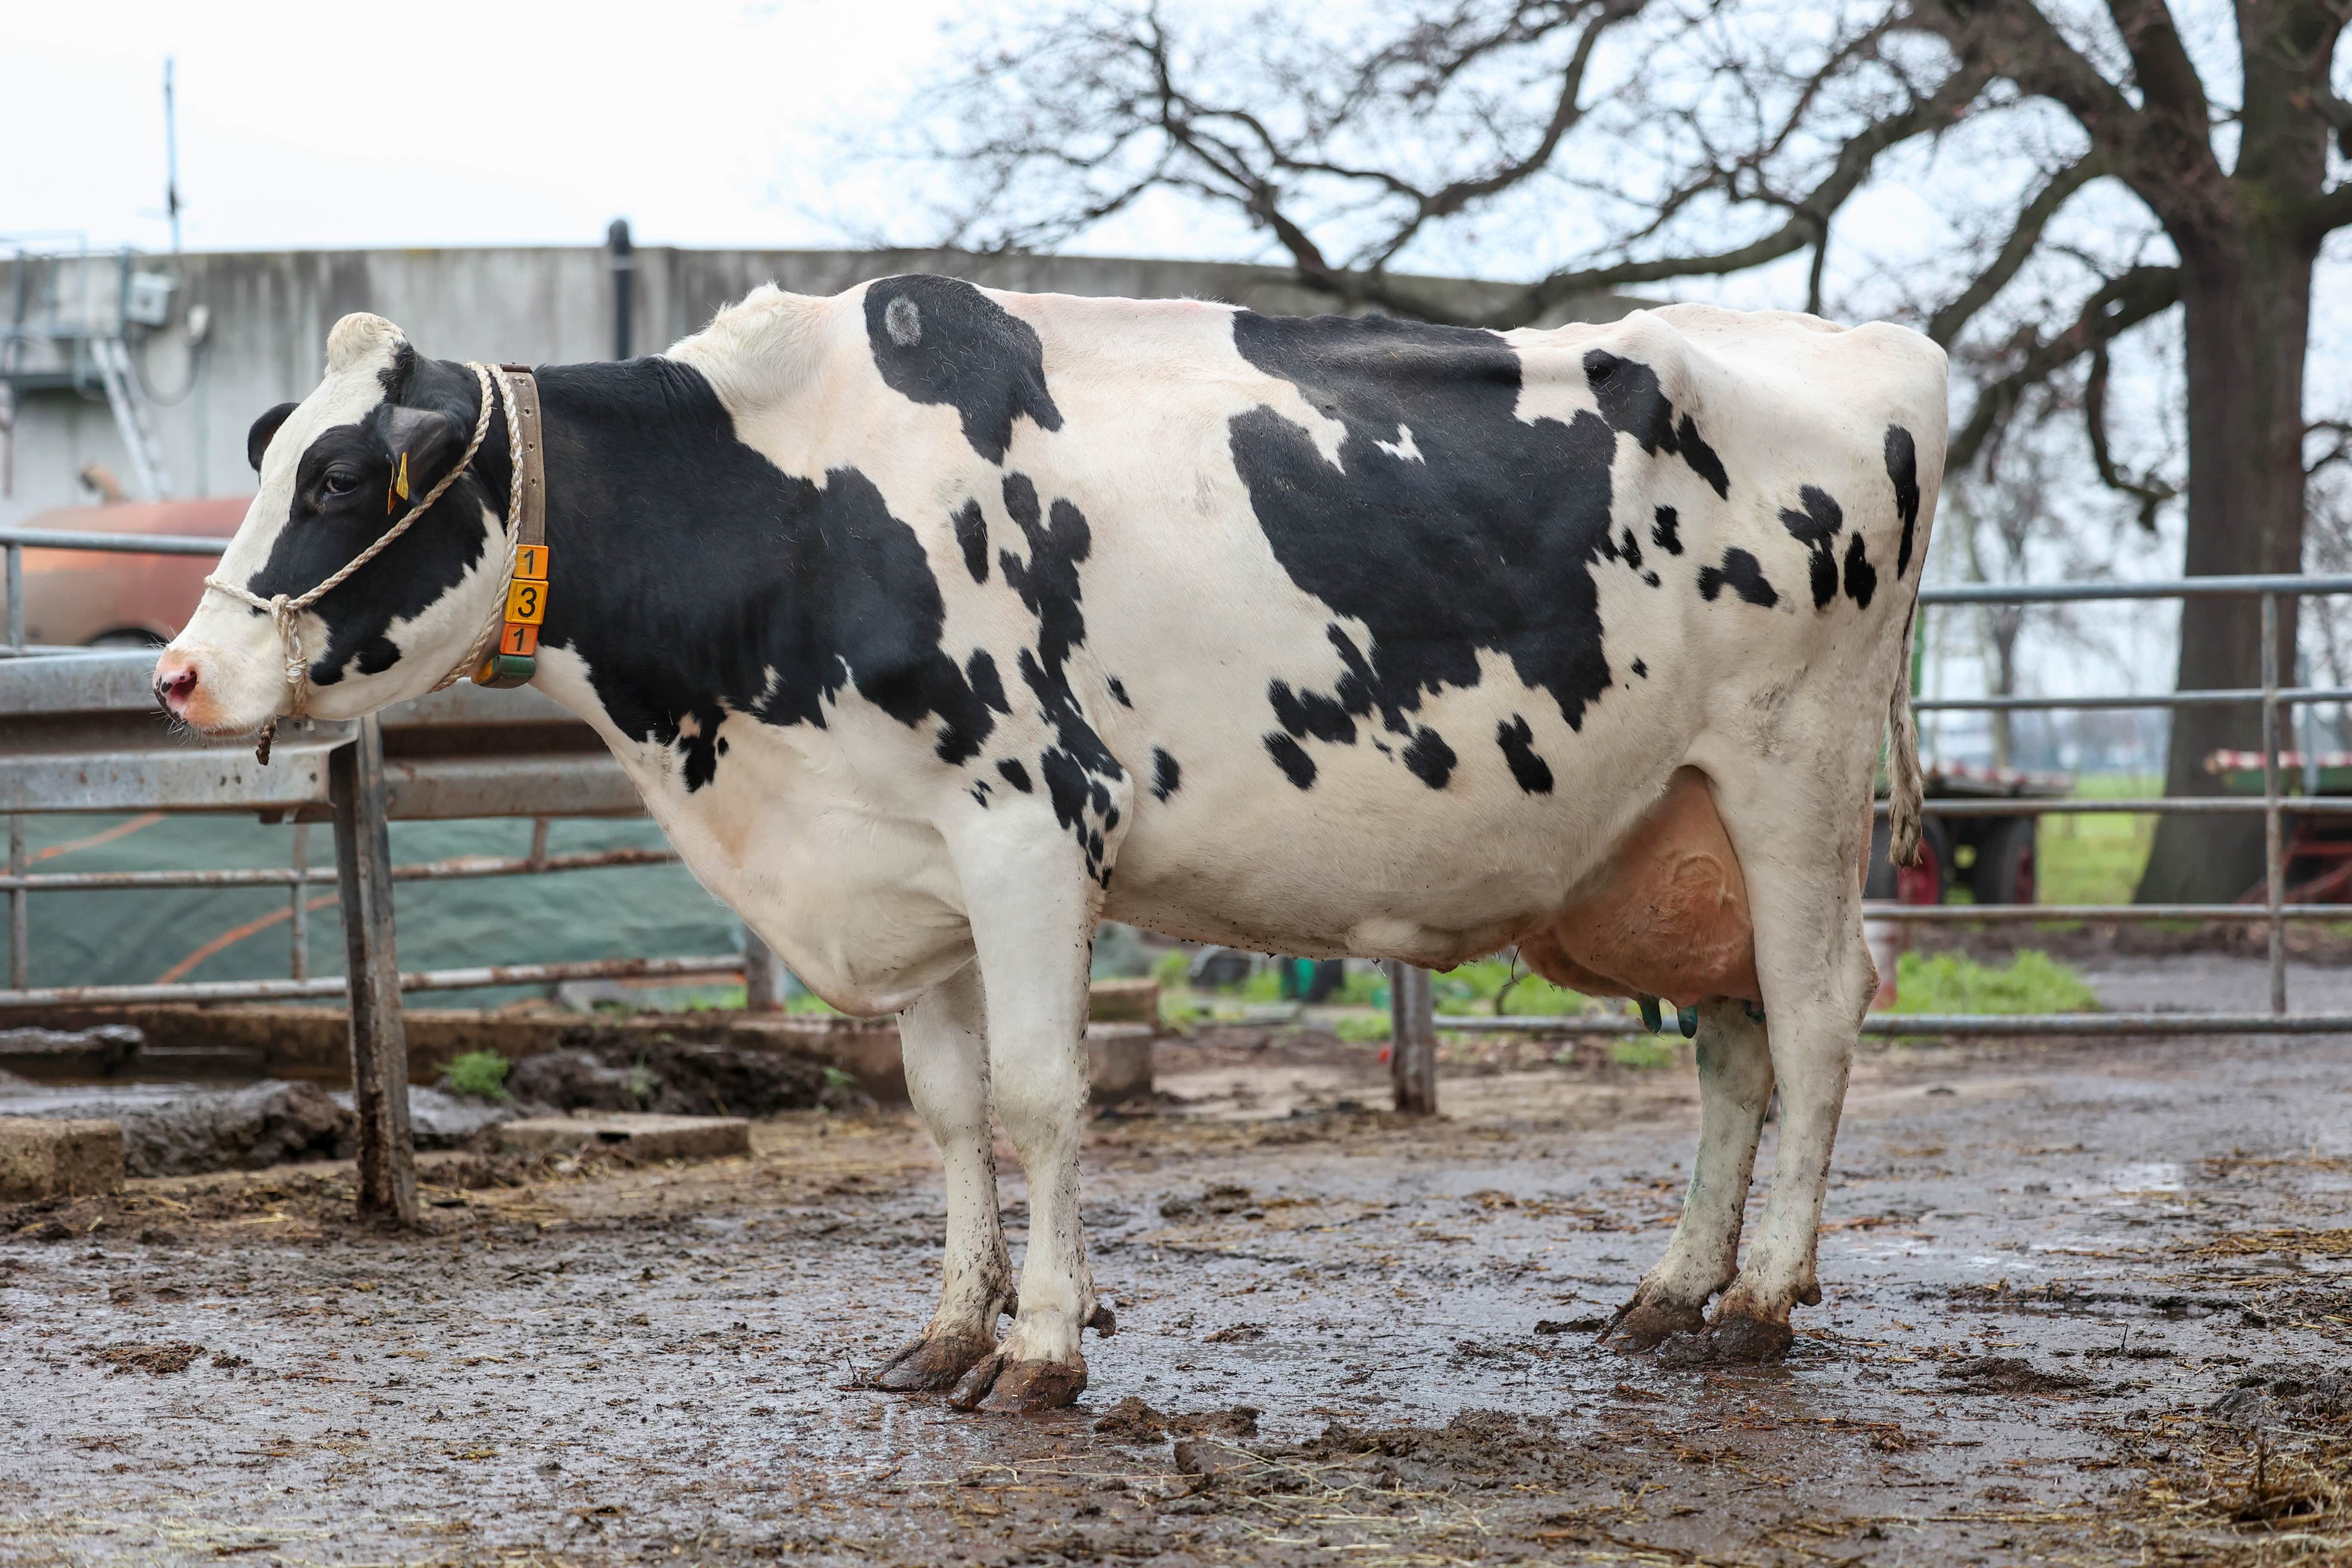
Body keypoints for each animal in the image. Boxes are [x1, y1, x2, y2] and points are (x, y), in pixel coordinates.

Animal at [156, 279, 1938, 1410]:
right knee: (1733, 1040)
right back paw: (1672, 1290)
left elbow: (1036, 1100)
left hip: (1789, 772)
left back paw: (1759, 1302)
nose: (179, 671)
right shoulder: (908, 869)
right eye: (273, 457)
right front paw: (950, 1333)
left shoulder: (1025, 829)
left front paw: (1042, 1351)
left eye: (337, 474)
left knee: (1817, 1016)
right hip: (1671, 832)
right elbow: (949, 1114)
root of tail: (1865, 343)